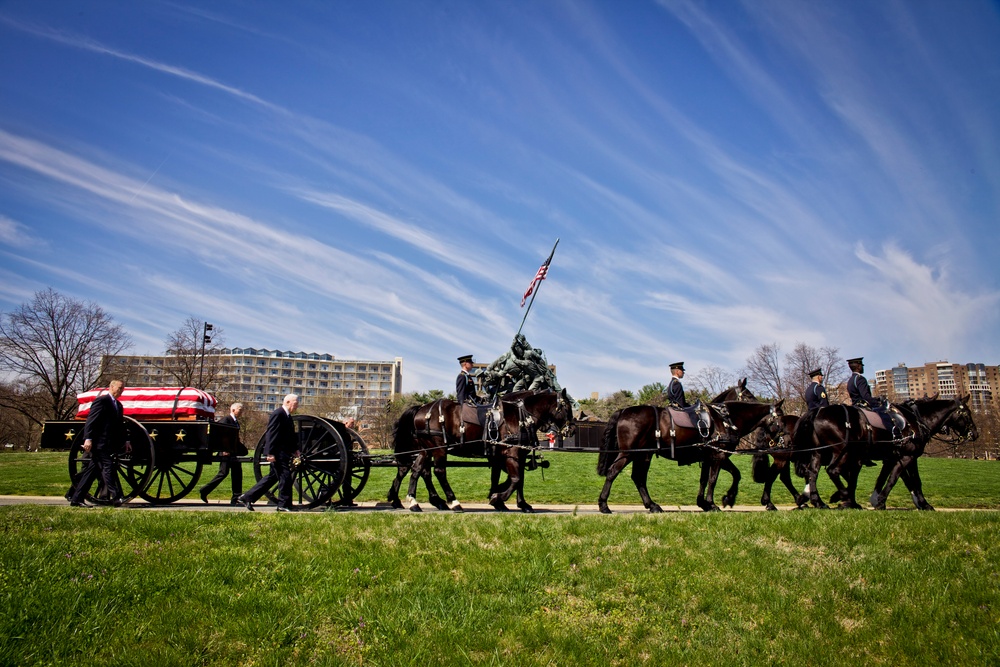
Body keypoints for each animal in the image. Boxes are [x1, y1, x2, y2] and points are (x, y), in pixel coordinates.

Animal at [390, 388, 580, 516]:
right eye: (566, 407)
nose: (572, 429)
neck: (520, 416)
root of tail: (422, 408)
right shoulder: (511, 454)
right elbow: (516, 479)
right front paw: (498, 497)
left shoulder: (512, 456)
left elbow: (514, 479)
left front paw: (519, 503)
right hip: (438, 449)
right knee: (438, 471)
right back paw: (453, 502)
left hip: (426, 449)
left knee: (417, 470)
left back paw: (415, 501)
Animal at [592, 400, 780, 516]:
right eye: (780, 421)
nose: (780, 441)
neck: (724, 419)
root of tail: (624, 410)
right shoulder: (719, 455)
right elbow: (716, 479)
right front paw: (718, 502)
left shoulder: (709, 457)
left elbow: (708, 479)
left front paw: (706, 502)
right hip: (629, 453)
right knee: (613, 472)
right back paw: (604, 505)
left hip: (643, 455)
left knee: (638, 478)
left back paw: (652, 505)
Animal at [788, 394, 976, 508]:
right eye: (967, 414)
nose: (975, 433)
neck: (915, 420)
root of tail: (818, 411)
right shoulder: (908, 456)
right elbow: (899, 480)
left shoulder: (893, 458)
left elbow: (892, 479)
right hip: (842, 451)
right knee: (832, 471)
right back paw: (840, 497)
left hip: (820, 453)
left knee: (813, 473)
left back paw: (819, 501)